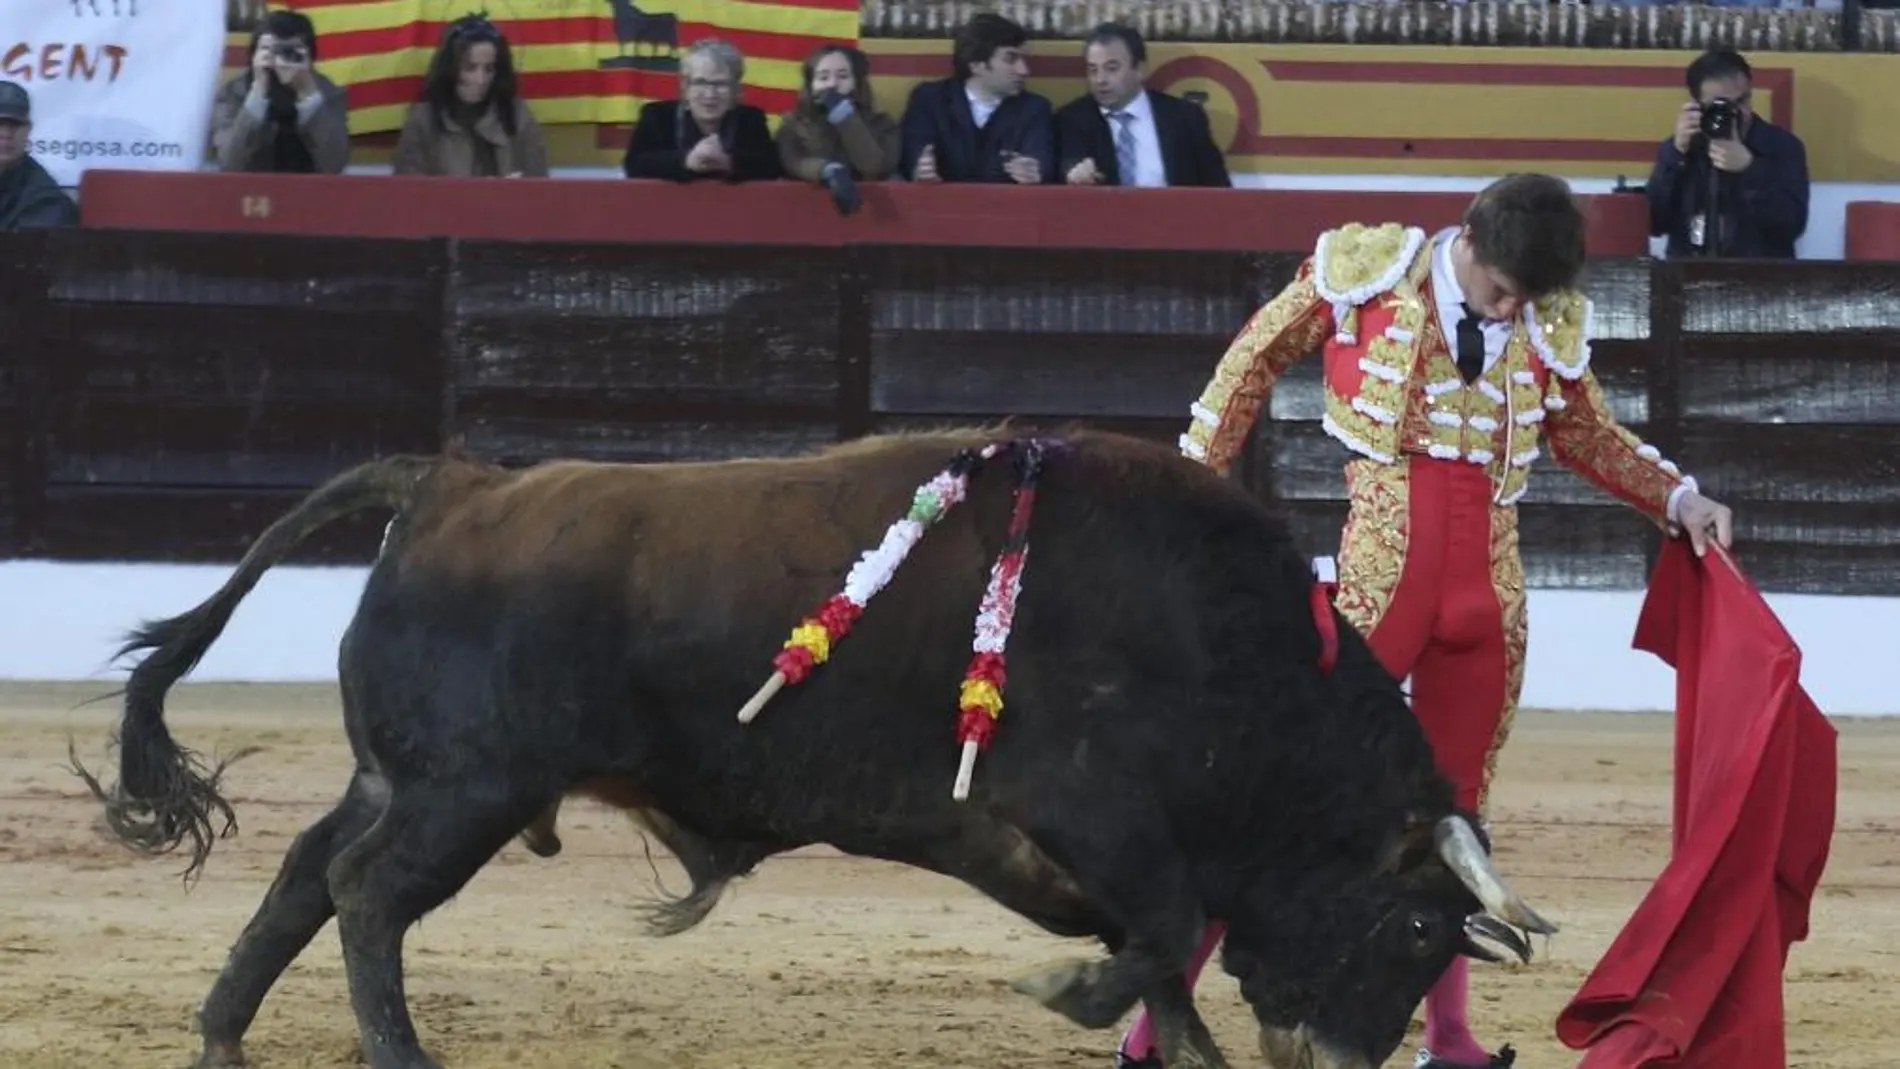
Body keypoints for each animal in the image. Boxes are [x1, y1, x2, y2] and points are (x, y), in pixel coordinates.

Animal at [77, 429, 1558, 1069]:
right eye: (1413, 931)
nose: (1341, 1063)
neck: (1224, 649)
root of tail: (452, 482)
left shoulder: (1102, 853)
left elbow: (1169, 963)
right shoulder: (1096, 816)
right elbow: (1159, 936)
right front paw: (1067, 996)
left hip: (402, 775)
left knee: (302, 877)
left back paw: (219, 1039)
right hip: (469, 791)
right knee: (367, 895)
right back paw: (400, 1059)